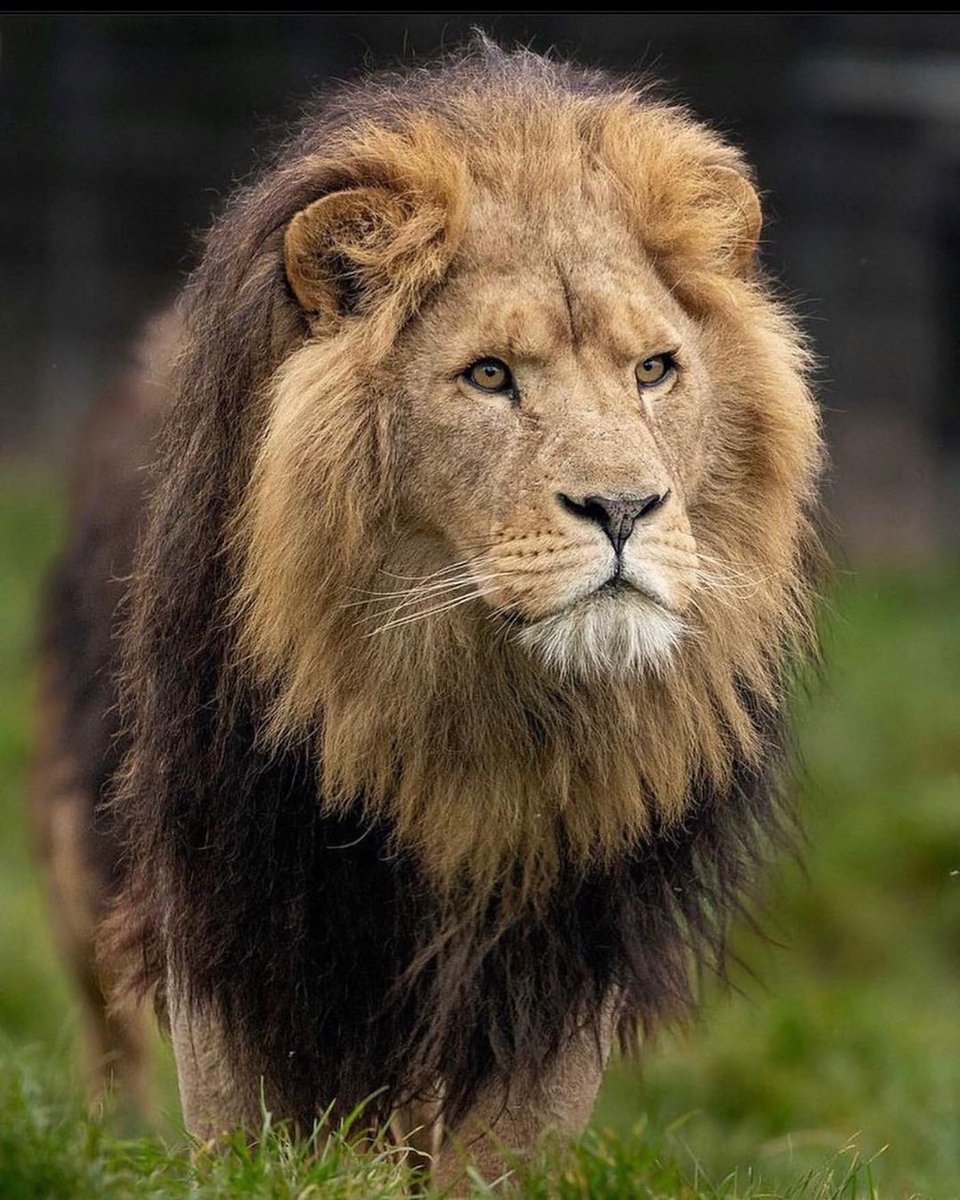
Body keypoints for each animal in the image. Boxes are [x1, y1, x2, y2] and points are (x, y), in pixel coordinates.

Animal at [31, 41, 822, 1188]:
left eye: (655, 370)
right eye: (489, 376)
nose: (626, 507)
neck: (467, 706)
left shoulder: (566, 929)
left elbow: (503, 1144)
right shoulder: (228, 873)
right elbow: (245, 1113)